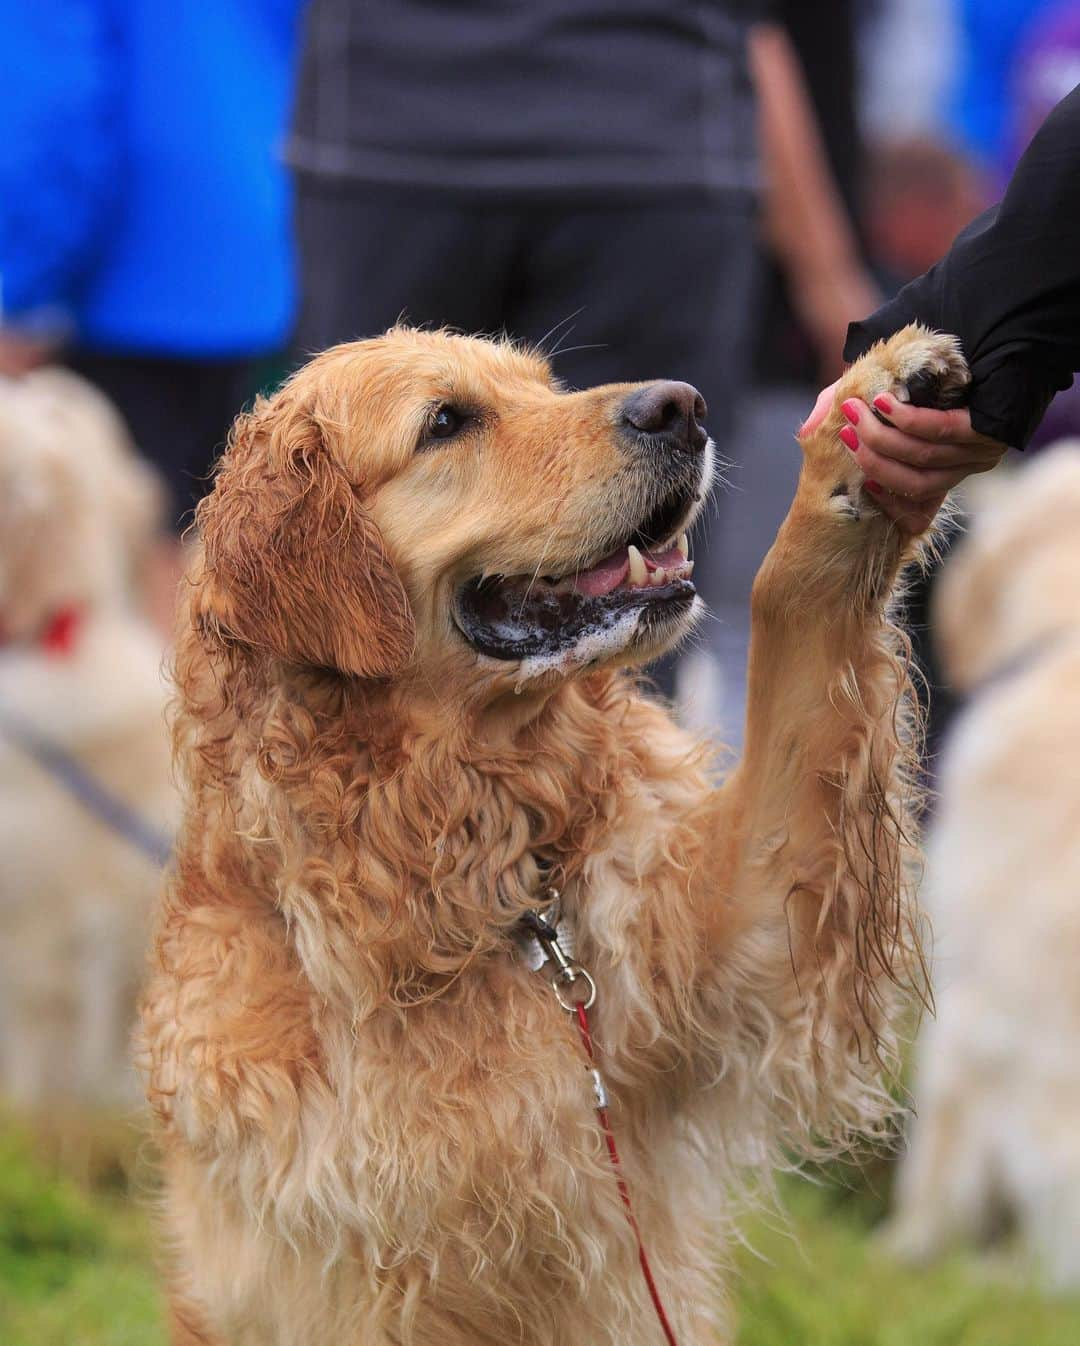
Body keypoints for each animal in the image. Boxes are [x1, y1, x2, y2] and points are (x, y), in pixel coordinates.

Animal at [138, 325, 964, 1346]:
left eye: (545, 386)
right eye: (446, 422)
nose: (682, 406)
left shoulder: (734, 944)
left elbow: (793, 631)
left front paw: (864, 426)